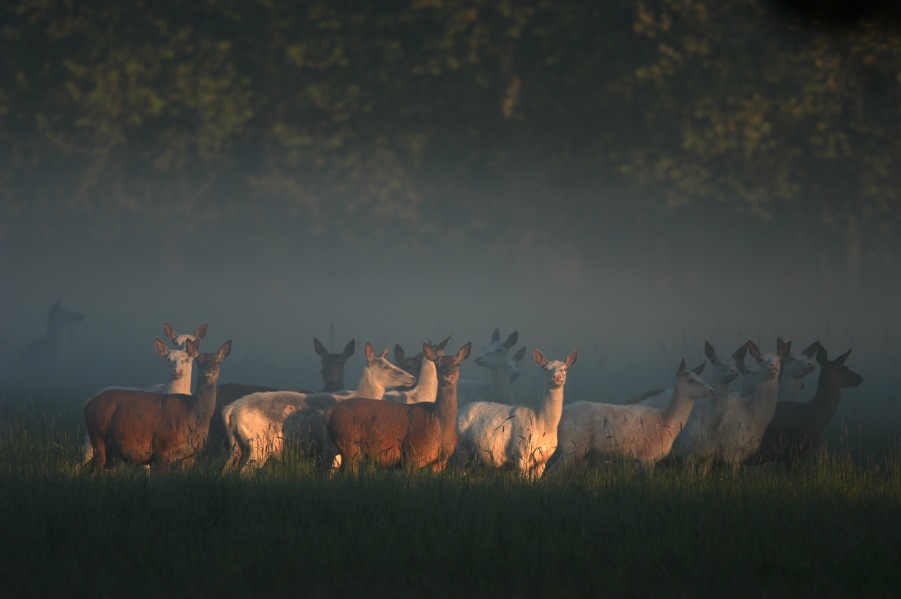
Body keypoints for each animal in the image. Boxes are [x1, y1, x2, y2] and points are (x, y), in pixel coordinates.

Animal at [81, 338, 231, 471]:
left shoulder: (190, 454)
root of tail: (89, 403)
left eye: (218, 361)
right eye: (199, 361)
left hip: (109, 449)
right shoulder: (163, 448)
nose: (209, 371)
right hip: (97, 437)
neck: (193, 416)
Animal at [221, 341, 415, 474]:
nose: (412, 378)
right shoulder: (331, 446)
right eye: (387, 367)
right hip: (259, 444)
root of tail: (230, 411)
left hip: (237, 445)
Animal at [322, 341, 471, 475]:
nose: (447, 375)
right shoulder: (412, 454)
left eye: (457, 363)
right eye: (437, 364)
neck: (436, 420)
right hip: (349, 443)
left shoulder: (442, 461)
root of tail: (329, 413)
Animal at [456, 349, 579, 479]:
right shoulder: (521, 451)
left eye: (565, 368)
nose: (557, 377)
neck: (542, 422)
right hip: (461, 447)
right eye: (546, 368)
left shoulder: (543, 459)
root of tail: (459, 411)